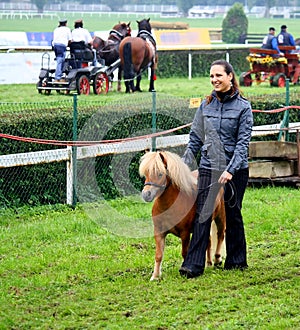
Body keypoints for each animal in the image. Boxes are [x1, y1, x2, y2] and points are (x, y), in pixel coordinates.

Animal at [138, 151, 225, 280]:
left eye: (160, 174)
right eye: (146, 173)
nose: (146, 194)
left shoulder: (185, 233)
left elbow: (185, 253)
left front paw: (185, 270)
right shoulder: (159, 233)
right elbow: (158, 255)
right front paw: (155, 276)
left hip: (220, 216)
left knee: (220, 235)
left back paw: (217, 259)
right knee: (208, 241)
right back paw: (208, 264)